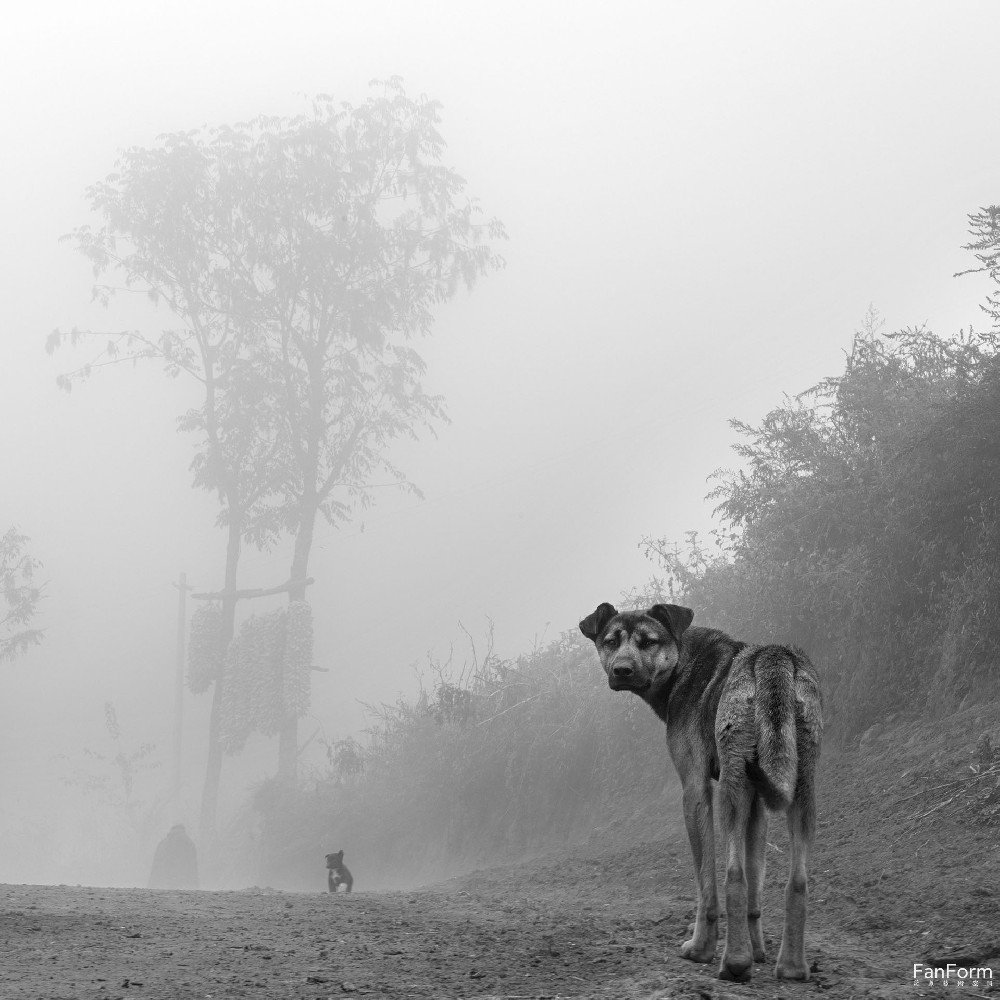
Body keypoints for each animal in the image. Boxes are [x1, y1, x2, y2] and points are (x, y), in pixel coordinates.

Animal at [580, 604, 820, 980]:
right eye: (610, 641)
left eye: (648, 641)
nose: (622, 670)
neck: (682, 661)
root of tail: (772, 656)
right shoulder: (757, 802)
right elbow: (755, 885)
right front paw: (758, 950)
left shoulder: (695, 790)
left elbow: (706, 882)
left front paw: (701, 948)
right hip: (801, 787)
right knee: (797, 881)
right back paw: (791, 967)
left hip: (731, 790)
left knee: (732, 875)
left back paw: (734, 962)